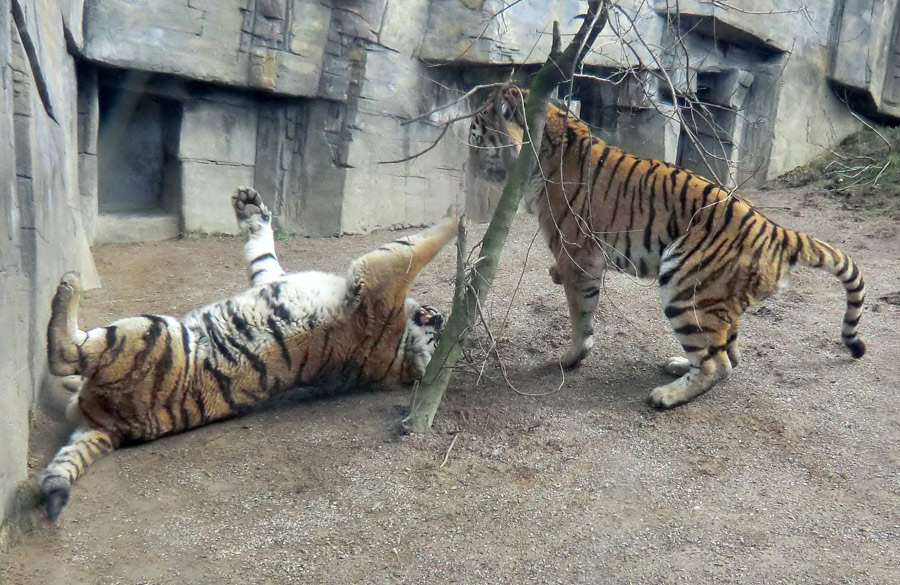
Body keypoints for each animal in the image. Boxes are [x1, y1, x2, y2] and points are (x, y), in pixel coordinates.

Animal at [39, 185, 458, 516]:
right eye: (440, 336)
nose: (441, 318)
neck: (399, 350)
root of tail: (112, 427)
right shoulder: (278, 278)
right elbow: (263, 252)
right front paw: (250, 206)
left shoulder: (377, 276)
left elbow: (418, 246)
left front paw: (459, 210)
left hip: (151, 333)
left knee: (65, 354)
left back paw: (69, 284)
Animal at [472, 86, 864, 408]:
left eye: (476, 132)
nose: (470, 162)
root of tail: (777, 231)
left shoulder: (578, 256)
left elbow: (580, 315)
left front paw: (571, 358)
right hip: (718, 297)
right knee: (727, 350)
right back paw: (678, 365)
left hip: (685, 284)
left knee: (718, 363)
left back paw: (667, 395)